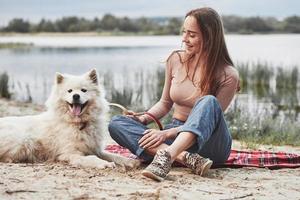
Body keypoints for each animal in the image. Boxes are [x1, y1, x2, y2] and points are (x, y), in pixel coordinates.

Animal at [0, 69, 140, 169]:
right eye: (69, 91)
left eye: (83, 90)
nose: (76, 96)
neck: (78, 123)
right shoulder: (70, 153)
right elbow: (91, 158)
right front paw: (104, 164)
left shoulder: (95, 149)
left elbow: (114, 155)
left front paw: (130, 161)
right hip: (24, 141)